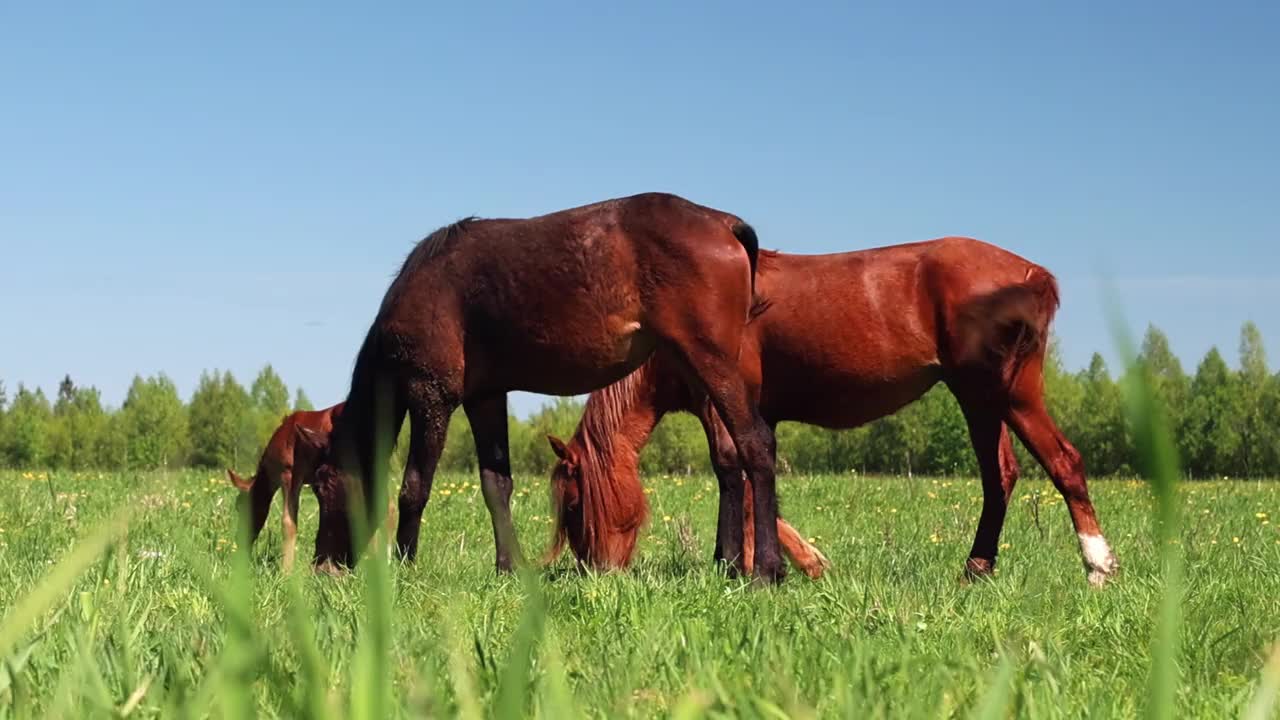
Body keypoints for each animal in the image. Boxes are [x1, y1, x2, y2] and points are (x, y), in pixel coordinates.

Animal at [291, 193, 788, 579]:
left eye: (324, 484)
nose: (323, 565)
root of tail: (723, 223)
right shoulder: (485, 398)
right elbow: (496, 484)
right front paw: (509, 565)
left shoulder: (430, 394)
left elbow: (415, 485)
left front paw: (405, 564)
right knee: (733, 456)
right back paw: (734, 563)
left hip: (711, 363)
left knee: (755, 445)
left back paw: (766, 568)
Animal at [550, 238, 1121, 586]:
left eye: (574, 505)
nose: (593, 574)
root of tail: (1031, 273)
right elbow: (751, 482)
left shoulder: (723, 408)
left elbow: (736, 474)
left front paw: (756, 564)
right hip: (988, 399)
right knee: (1004, 474)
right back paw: (976, 571)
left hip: (999, 395)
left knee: (1057, 464)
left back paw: (1096, 567)